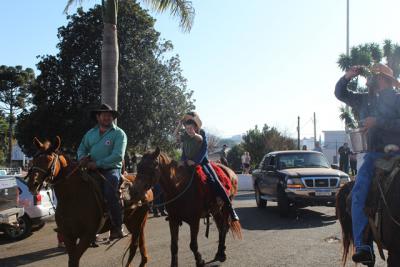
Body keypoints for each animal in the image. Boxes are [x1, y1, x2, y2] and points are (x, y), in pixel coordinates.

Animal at [26, 138, 152, 267]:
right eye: (33, 160)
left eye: (49, 159)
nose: (32, 184)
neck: (72, 197)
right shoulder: (68, 235)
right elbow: (72, 260)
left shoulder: (87, 235)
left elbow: (74, 259)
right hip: (135, 223)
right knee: (140, 244)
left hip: (137, 222)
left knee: (134, 246)